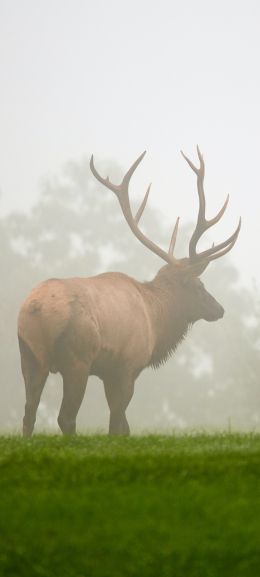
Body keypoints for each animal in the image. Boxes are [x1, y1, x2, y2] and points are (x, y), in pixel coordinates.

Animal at [17, 146, 242, 434]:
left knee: (29, 414)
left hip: (29, 355)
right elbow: (118, 425)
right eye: (199, 285)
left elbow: (124, 426)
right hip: (77, 358)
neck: (156, 320)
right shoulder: (126, 366)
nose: (219, 309)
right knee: (65, 417)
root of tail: (35, 308)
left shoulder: (111, 372)